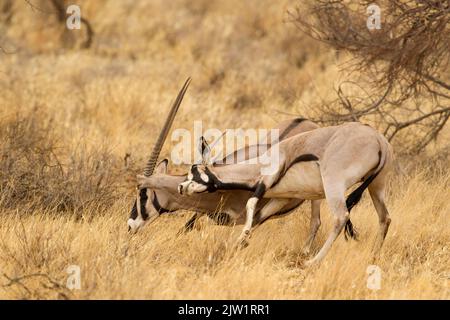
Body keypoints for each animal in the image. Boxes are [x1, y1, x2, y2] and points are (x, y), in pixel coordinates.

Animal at [176, 121, 394, 264]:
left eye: (195, 171)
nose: (181, 187)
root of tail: (379, 140)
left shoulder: (265, 182)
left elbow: (251, 204)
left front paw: (241, 237)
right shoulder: (282, 198)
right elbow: (259, 217)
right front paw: (238, 243)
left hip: (334, 185)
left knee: (340, 218)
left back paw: (312, 261)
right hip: (376, 187)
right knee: (385, 218)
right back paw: (373, 256)